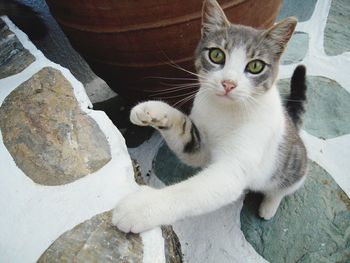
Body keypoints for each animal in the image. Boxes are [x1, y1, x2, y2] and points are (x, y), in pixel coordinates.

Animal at [112, 0, 306, 234]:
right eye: (217, 55)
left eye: (255, 66)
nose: (228, 83)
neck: (224, 111)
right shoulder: (200, 149)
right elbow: (184, 135)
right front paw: (151, 110)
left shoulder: (233, 168)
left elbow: (190, 192)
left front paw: (141, 207)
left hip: (292, 167)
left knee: (282, 187)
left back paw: (269, 206)